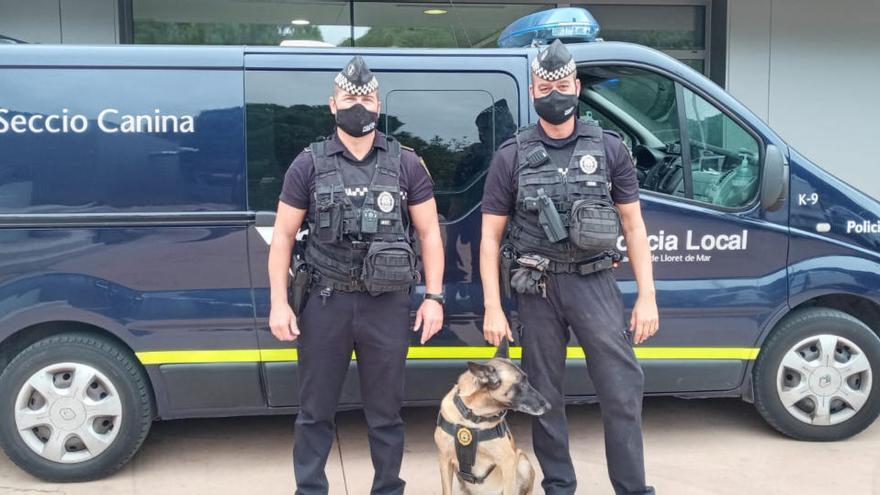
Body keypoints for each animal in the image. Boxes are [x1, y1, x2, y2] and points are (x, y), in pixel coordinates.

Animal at [434, 342, 552, 495]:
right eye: (522, 385)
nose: (549, 406)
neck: (473, 418)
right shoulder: (444, 460)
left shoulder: (508, 462)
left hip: (522, 460)